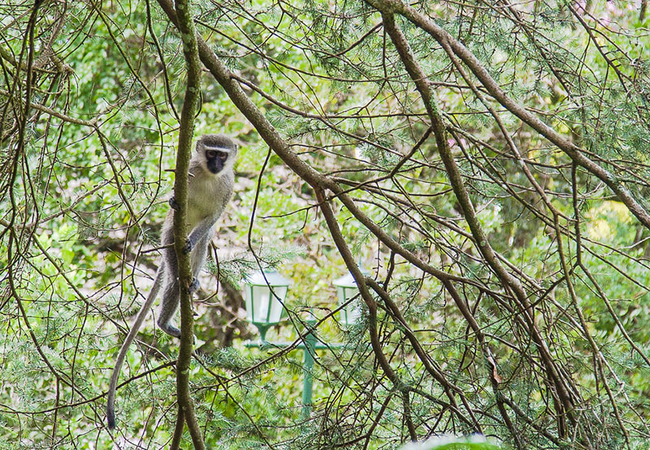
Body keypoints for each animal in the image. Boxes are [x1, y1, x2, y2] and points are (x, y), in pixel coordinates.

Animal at [105, 134, 237, 428]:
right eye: (210, 153)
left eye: (222, 155)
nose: (215, 164)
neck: (210, 176)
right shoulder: (187, 171)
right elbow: (175, 197)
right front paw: (173, 202)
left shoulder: (228, 187)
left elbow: (211, 219)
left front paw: (193, 239)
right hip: (168, 239)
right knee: (175, 280)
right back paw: (165, 324)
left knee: (203, 241)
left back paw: (194, 279)